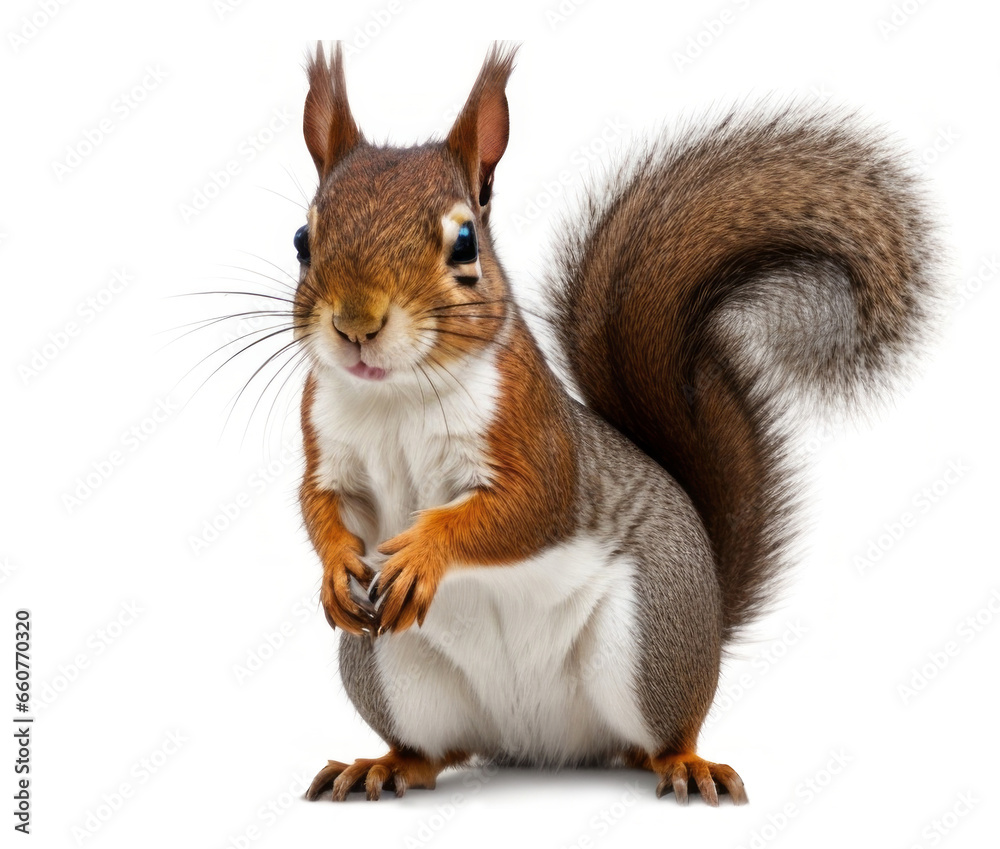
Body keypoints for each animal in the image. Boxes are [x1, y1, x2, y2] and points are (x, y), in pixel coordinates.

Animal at [291, 43, 937, 804]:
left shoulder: (537, 439)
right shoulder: (326, 449)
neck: (394, 398)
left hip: (649, 639)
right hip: (389, 665)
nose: (356, 325)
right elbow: (322, 507)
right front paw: (336, 566)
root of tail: (536, 744)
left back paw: (687, 764)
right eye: (303, 239)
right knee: (433, 749)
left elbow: (524, 508)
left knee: (657, 738)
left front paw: (425, 552)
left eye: (465, 244)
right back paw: (383, 764)